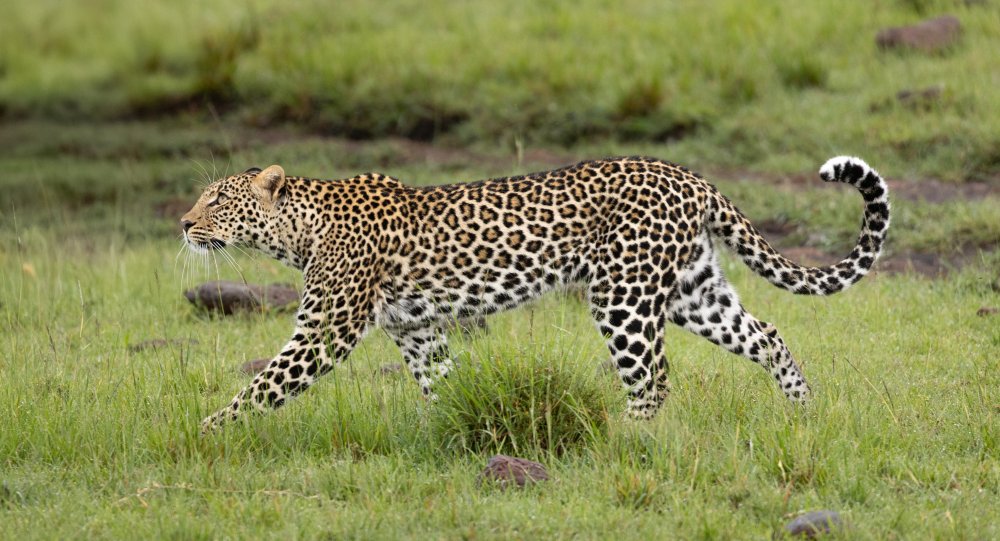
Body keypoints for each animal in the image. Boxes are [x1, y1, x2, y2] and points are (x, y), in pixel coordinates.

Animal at [182, 156, 889, 432]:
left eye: (217, 199)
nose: (184, 224)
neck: (299, 229)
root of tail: (688, 174)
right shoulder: (417, 329)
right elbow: (443, 384)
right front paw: (451, 432)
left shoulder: (324, 331)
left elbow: (262, 387)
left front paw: (208, 435)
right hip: (693, 291)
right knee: (766, 334)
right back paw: (803, 410)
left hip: (623, 296)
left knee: (653, 378)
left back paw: (623, 436)